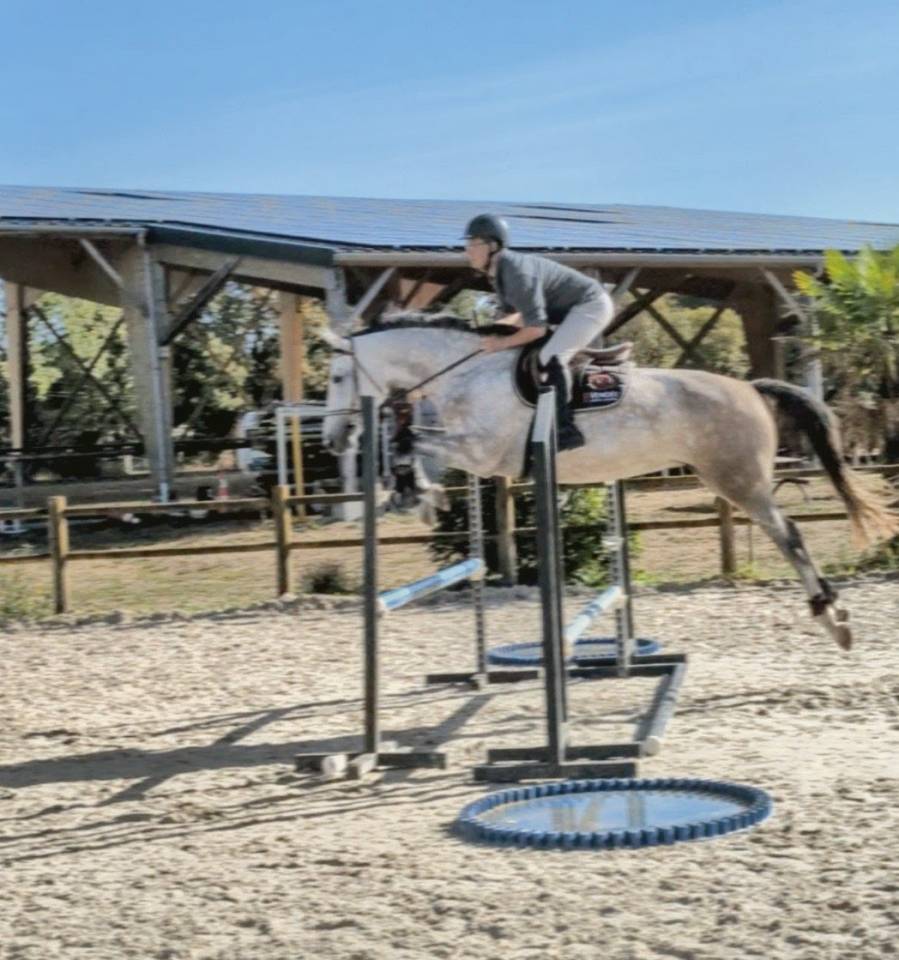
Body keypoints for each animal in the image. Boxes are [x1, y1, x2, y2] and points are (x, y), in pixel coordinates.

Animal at [319, 316, 898, 651]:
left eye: (337, 377)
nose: (331, 438)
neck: (466, 371)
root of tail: (752, 388)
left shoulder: (483, 451)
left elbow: (414, 443)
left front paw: (414, 493)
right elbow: (415, 443)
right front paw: (418, 495)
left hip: (739, 481)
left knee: (790, 536)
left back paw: (833, 618)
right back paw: (832, 614)